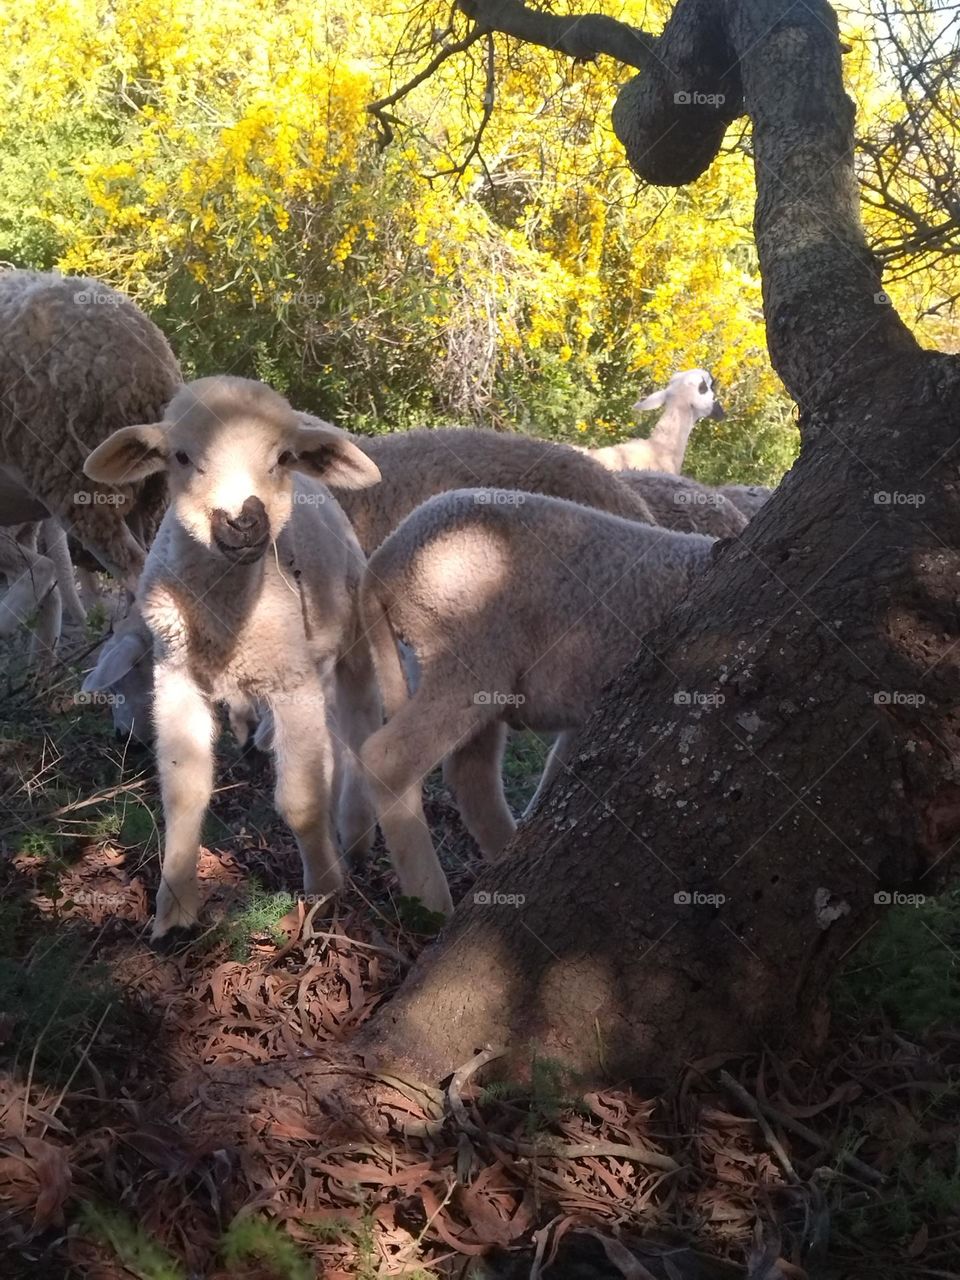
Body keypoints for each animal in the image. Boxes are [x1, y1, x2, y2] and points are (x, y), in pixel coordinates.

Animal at [83, 375, 389, 938]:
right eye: (181, 456)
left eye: (284, 457)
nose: (243, 520)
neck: (227, 616)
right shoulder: (176, 675)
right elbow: (183, 791)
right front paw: (174, 908)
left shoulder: (292, 681)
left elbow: (301, 801)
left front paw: (324, 890)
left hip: (350, 641)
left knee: (357, 732)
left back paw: (355, 838)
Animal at [359, 489, 717, 911]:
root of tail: (386, 558)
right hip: (469, 650)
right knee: (390, 759)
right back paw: (433, 902)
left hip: (450, 660)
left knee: (471, 776)